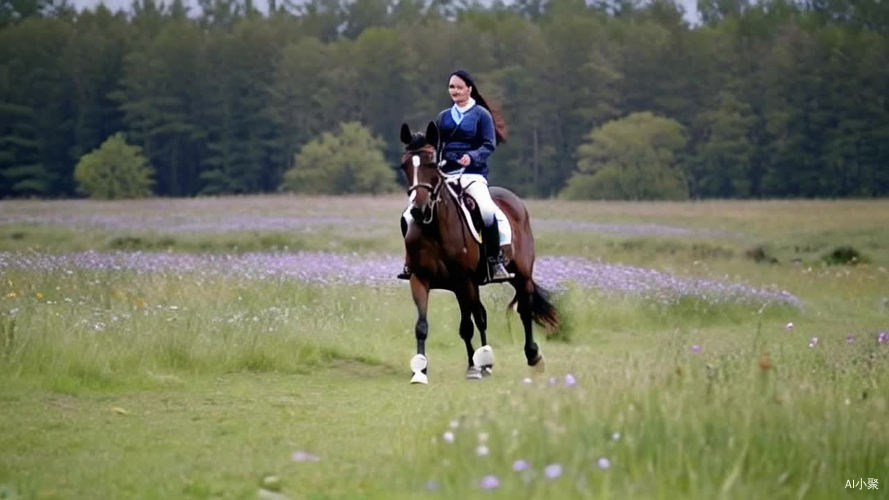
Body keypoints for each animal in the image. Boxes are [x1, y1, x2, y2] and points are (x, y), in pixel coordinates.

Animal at [400, 123, 560, 384]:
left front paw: (475, 367)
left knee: (524, 311)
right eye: (404, 165)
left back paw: (532, 357)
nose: (418, 209)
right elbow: (423, 326)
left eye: (431, 164)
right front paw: (420, 371)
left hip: (521, 276)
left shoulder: (464, 281)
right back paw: (485, 362)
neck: (434, 228)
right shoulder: (422, 279)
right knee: (482, 315)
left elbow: (468, 325)